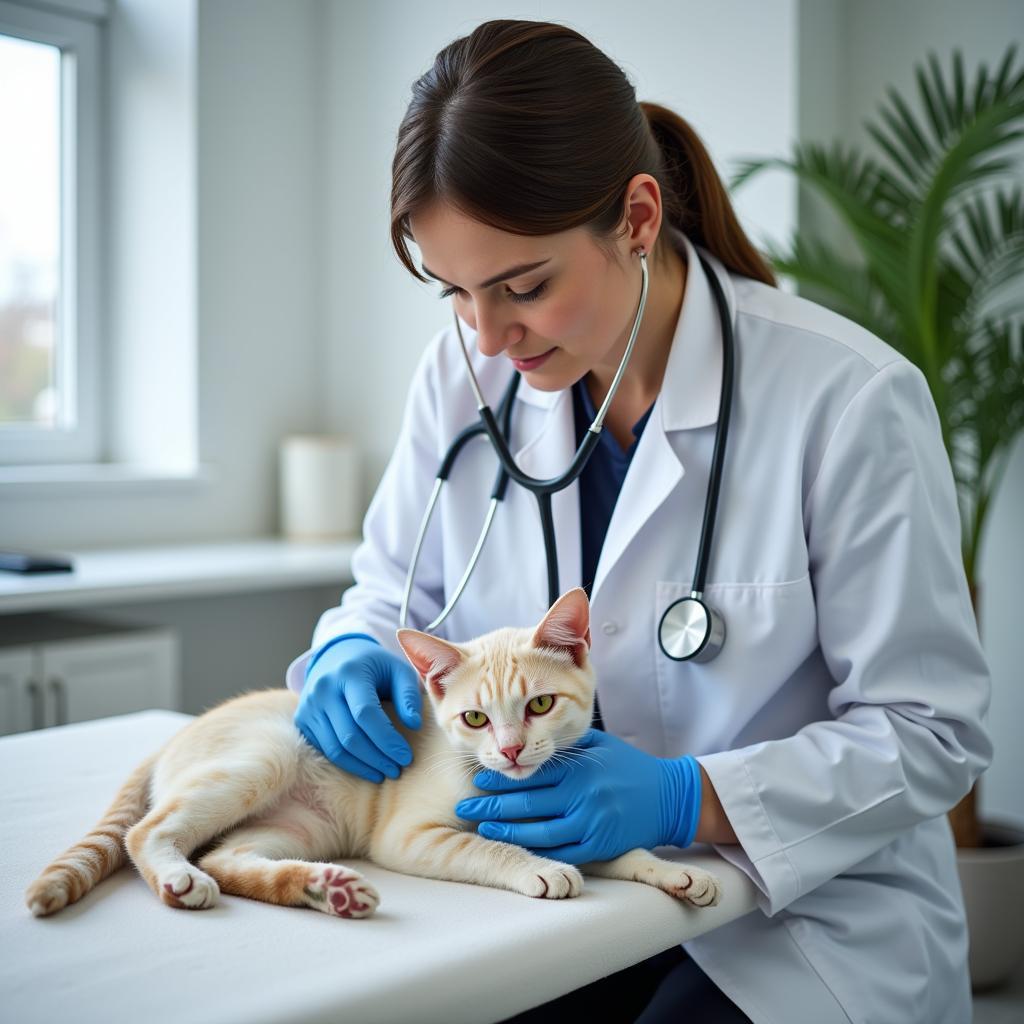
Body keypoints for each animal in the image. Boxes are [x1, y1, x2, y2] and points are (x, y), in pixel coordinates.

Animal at [28, 585, 724, 921]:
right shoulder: (409, 836)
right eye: (474, 719)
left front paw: (670, 870)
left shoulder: (564, 817)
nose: (510, 751)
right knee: (146, 832)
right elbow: (489, 847)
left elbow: (613, 842)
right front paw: (536, 868)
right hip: (267, 758)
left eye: (540, 705)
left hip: (301, 828)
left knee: (228, 859)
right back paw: (180, 877)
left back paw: (323, 889)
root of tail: (172, 735)